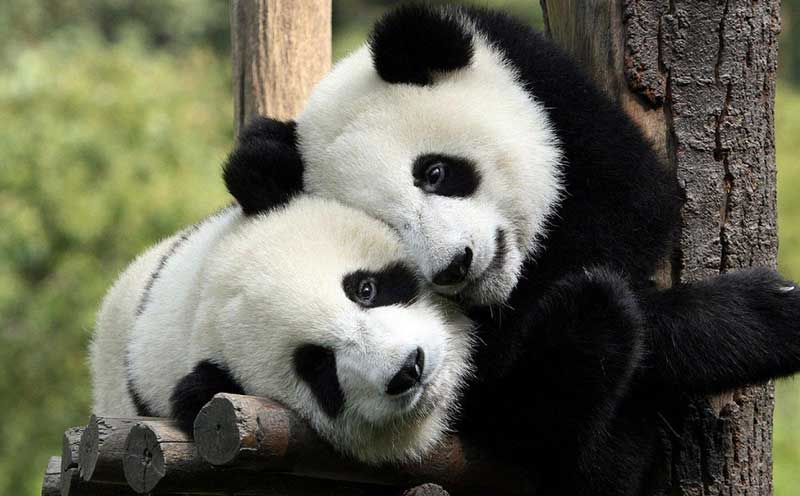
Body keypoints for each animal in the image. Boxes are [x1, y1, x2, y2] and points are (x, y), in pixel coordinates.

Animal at [222, 4, 800, 494]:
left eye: (435, 172)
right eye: (390, 228)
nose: (455, 265)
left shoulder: (552, 94)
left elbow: (634, 205)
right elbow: (504, 387)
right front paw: (757, 314)